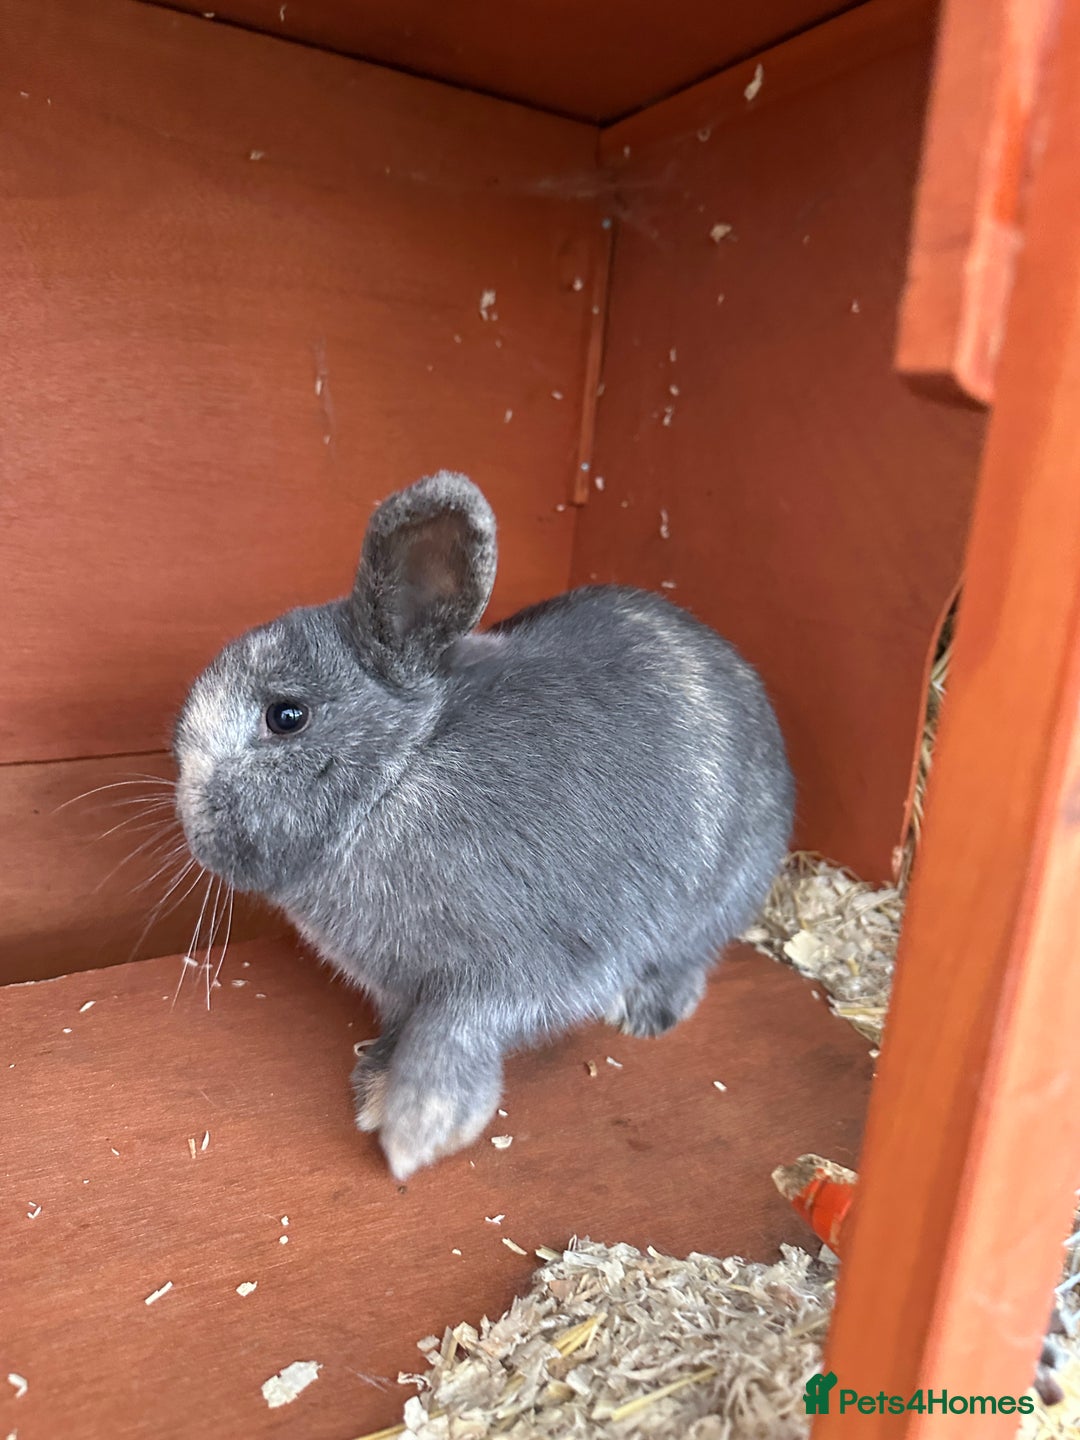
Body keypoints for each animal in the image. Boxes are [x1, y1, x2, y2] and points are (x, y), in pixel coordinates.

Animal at [173, 471, 795, 1180]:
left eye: (286, 716)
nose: (194, 828)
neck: (398, 774)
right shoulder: (404, 990)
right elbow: (405, 1030)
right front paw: (374, 1084)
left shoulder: (523, 967)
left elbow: (452, 1033)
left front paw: (417, 1129)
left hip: (721, 895)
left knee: (693, 953)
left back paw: (646, 1014)